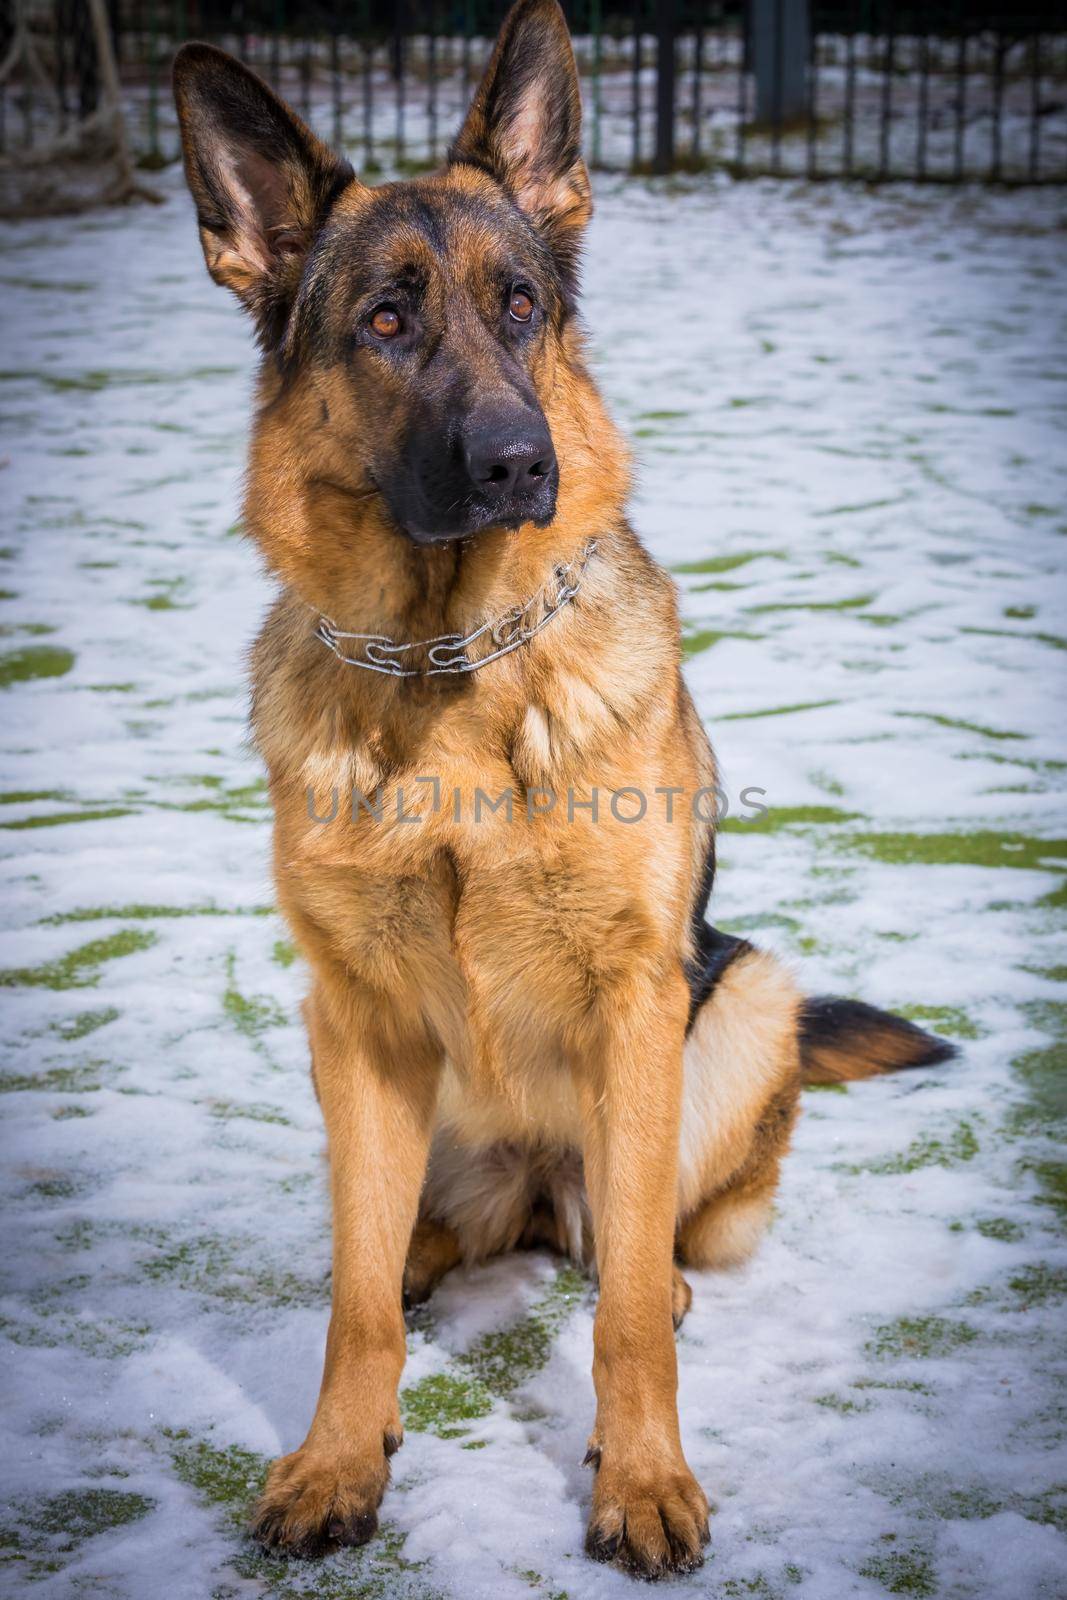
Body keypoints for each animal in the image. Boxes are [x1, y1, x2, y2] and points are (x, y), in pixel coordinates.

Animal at [173, 0, 953, 1574]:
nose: (516, 462)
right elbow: (349, 1304)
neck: (449, 667)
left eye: (521, 304)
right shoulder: (354, 1018)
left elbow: (626, 1318)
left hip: (740, 1001)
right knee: (412, 1245)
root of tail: (534, 1185)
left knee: (636, 1248)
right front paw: (338, 1460)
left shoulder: (636, 996)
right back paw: (422, 1262)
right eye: (385, 320)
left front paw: (640, 1478)